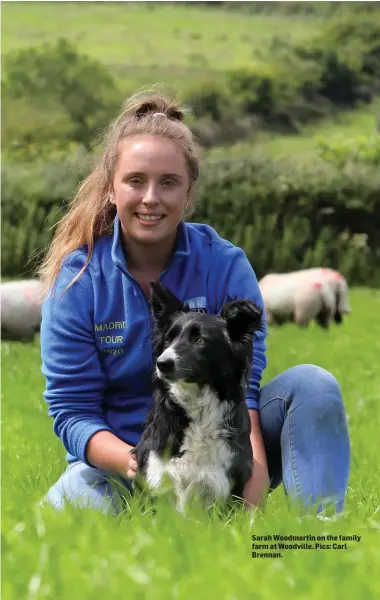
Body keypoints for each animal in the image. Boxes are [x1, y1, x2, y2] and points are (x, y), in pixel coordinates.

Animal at [134, 282, 264, 510]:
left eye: (200, 340)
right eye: (168, 339)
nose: (162, 363)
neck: (197, 403)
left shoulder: (222, 486)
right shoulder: (156, 479)